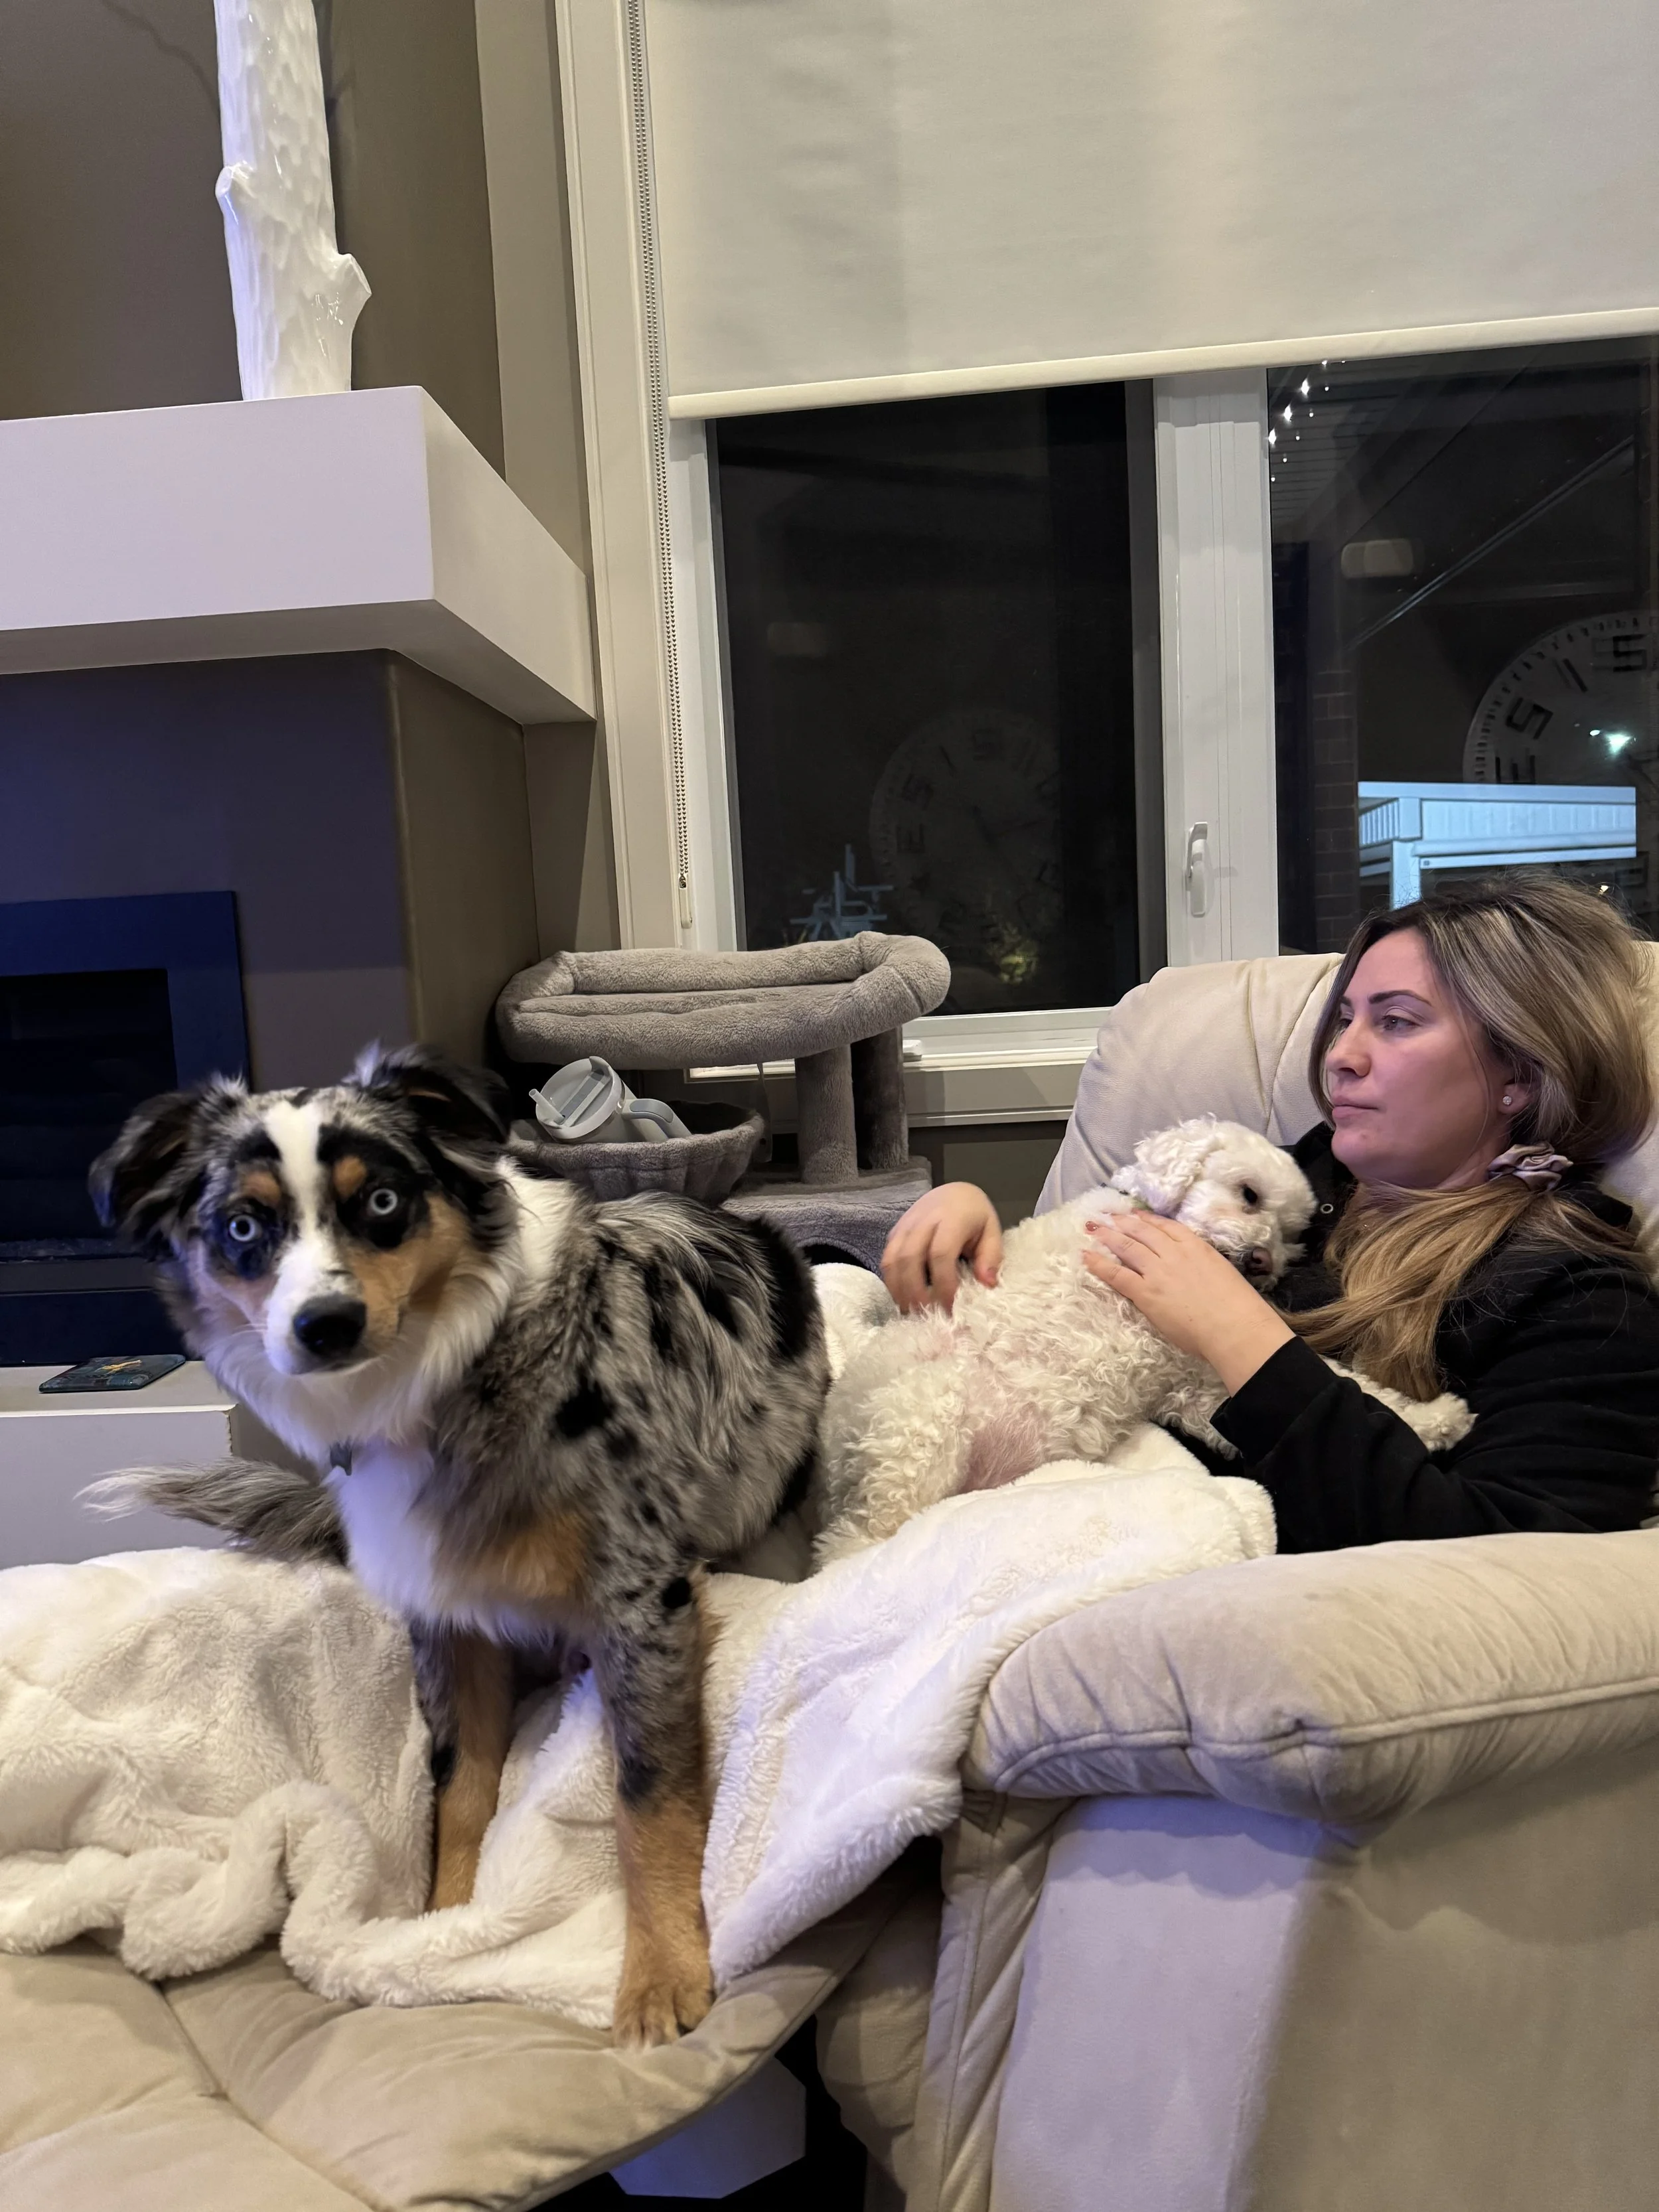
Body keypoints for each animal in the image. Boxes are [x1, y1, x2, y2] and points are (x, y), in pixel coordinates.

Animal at [85, 1045, 828, 2047]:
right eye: (243, 1225)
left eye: (383, 1201)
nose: (325, 1325)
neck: (456, 1380)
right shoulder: (447, 1620)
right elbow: (460, 1792)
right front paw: (441, 1933)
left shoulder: (643, 1602)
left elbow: (649, 1793)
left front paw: (662, 1973)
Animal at [813, 1117, 1472, 1559]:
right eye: (1249, 1193)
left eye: (1292, 1238)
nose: (1263, 1262)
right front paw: (1441, 1415)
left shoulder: (1205, 1387)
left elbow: (1346, 1387)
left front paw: (1434, 1419)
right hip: (923, 1422)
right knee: (849, 1544)